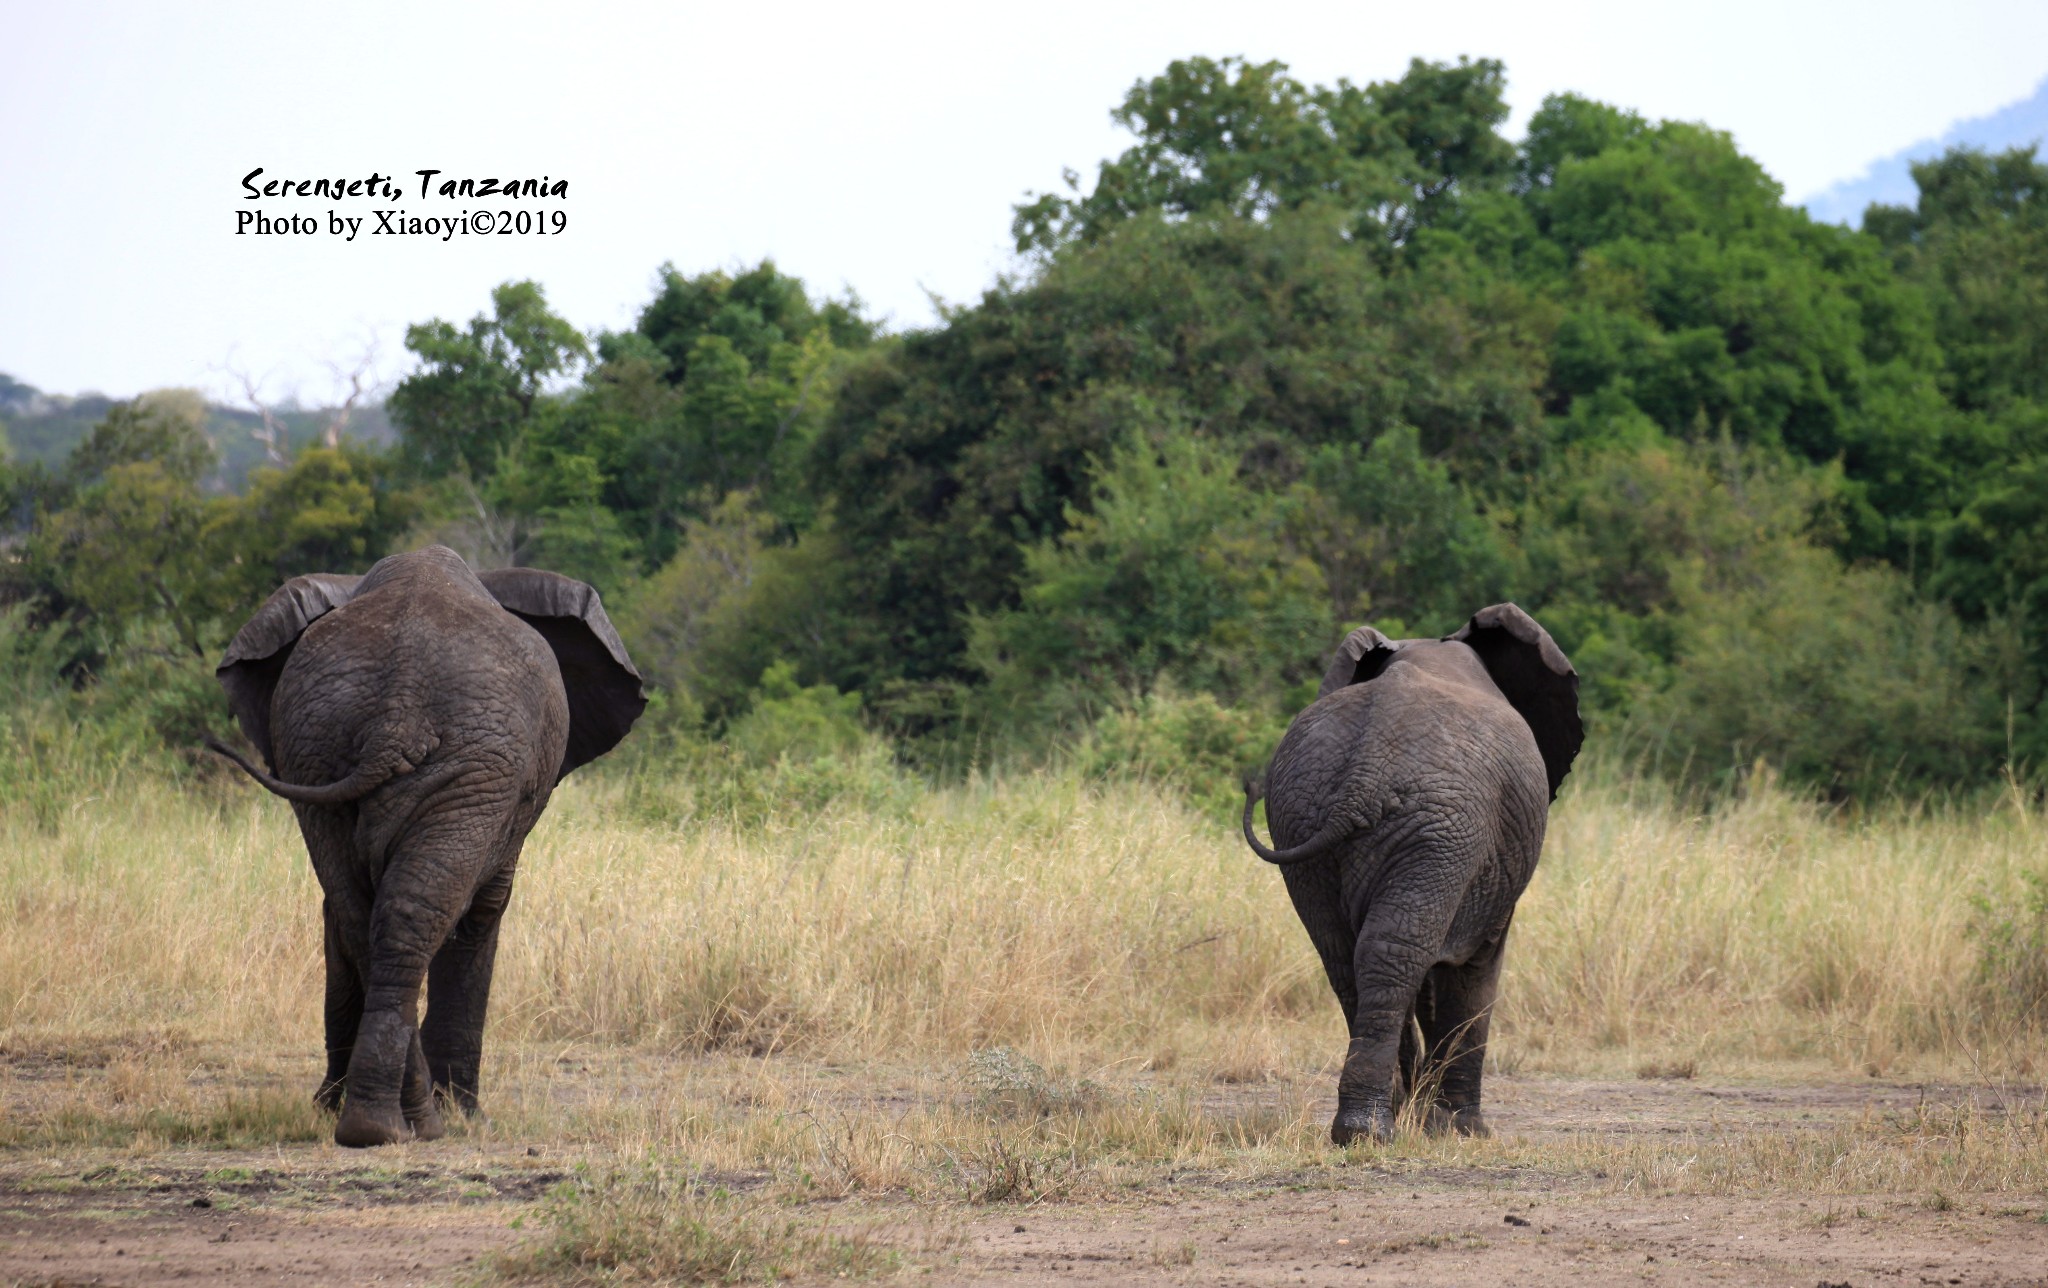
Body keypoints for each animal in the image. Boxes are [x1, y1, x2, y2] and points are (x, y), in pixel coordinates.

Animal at [206, 540, 638, 1146]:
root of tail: (398, 708)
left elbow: (339, 913)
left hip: (325, 751)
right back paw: (417, 1121)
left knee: (371, 917)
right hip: (477, 767)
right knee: (424, 911)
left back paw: (380, 1124)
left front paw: (333, 1108)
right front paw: (466, 1112)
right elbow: (486, 911)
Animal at [1228, 602, 1581, 1146]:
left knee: (1348, 958)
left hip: (1304, 812)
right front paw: (1463, 1131)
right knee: (1396, 952)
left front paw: (1430, 1121)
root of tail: (1369, 761)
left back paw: (1367, 1125)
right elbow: (1474, 970)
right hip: (1441, 827)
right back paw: (1375, 1130)